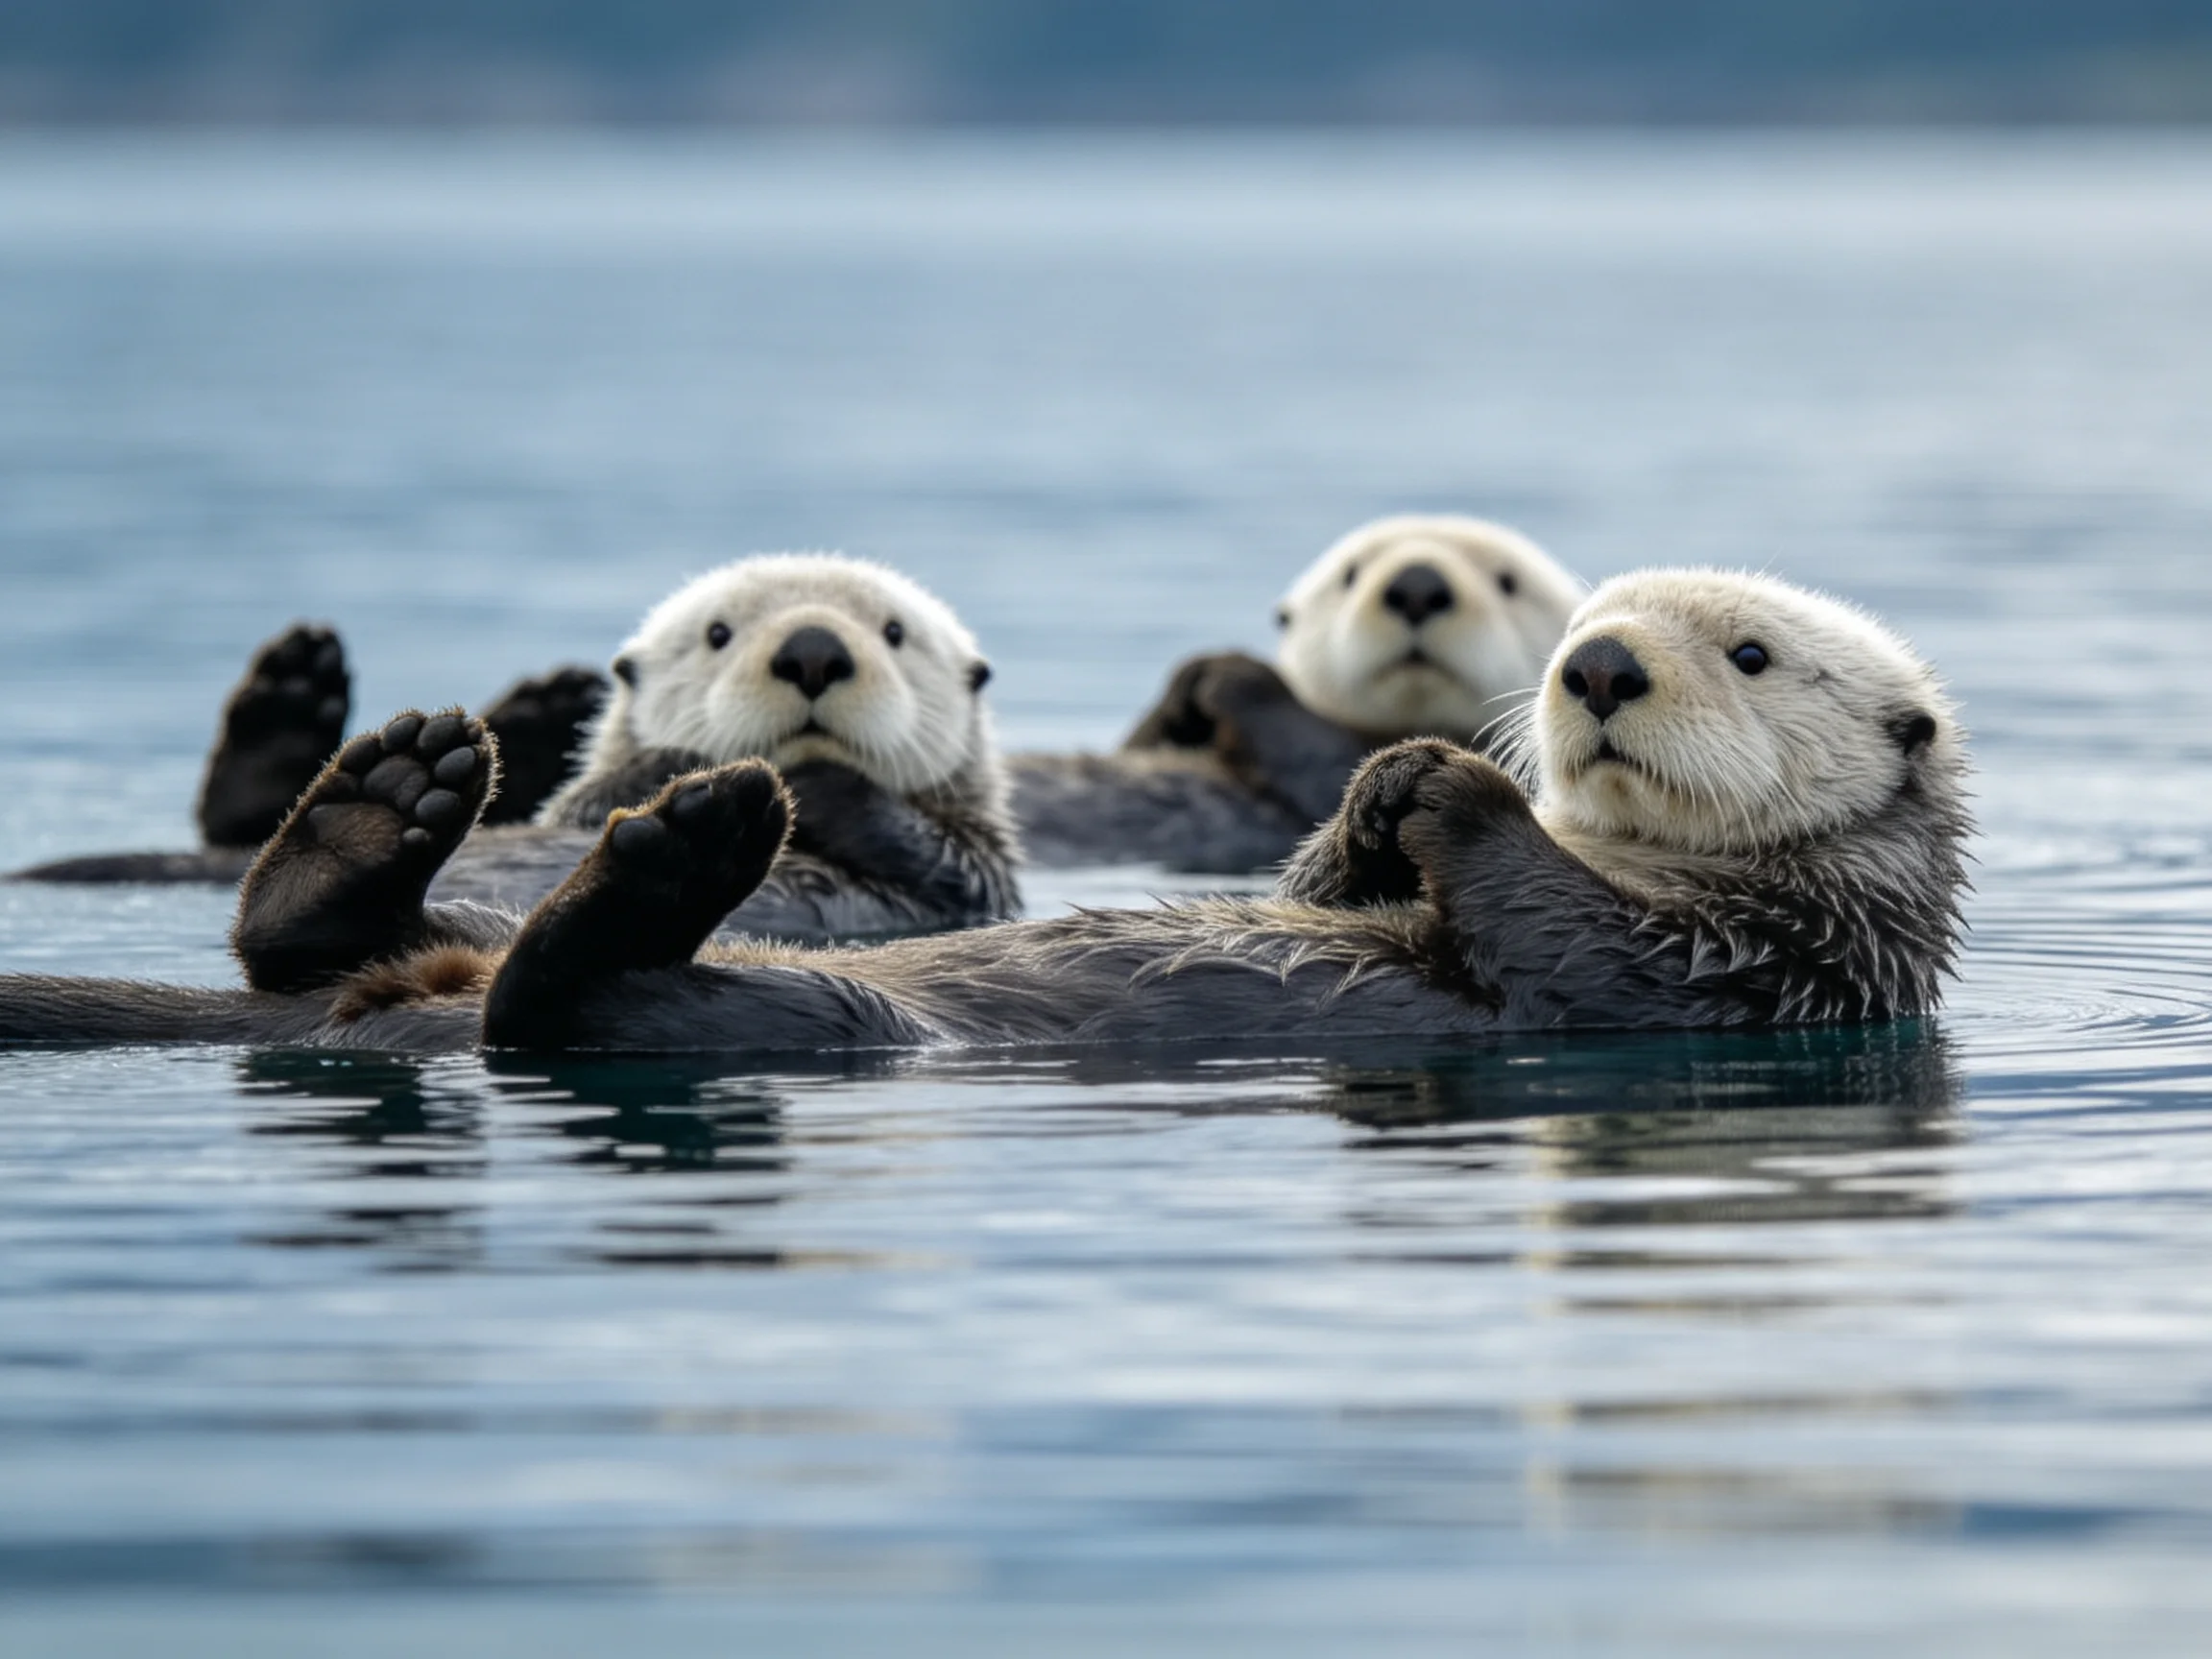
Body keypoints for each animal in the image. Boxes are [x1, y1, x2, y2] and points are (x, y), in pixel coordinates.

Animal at [1007, 514, 1583, 871]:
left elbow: (1313, 753)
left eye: (1508, 583)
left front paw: (1232, 674)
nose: (1417, 585)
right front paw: (1187, 688)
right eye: (1350, 576)